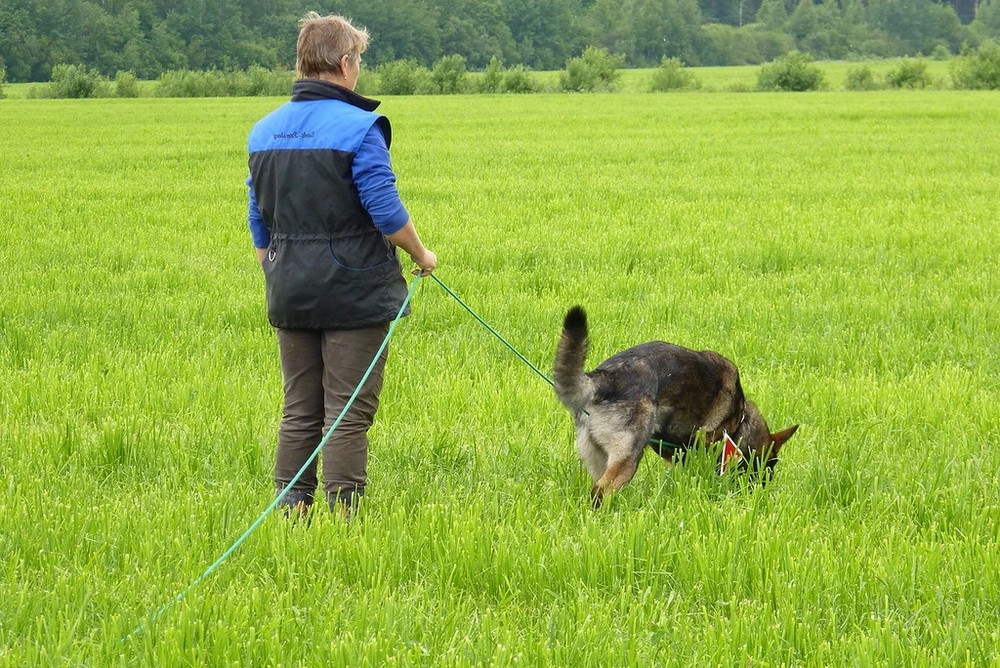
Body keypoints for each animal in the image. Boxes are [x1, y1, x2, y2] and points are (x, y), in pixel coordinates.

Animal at [553, 306, 798, 507]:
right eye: (768, 467)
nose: (761, 493)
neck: (741, 419)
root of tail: (610, 376)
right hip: (627, 458)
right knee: (601, 490)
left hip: (598, 456)